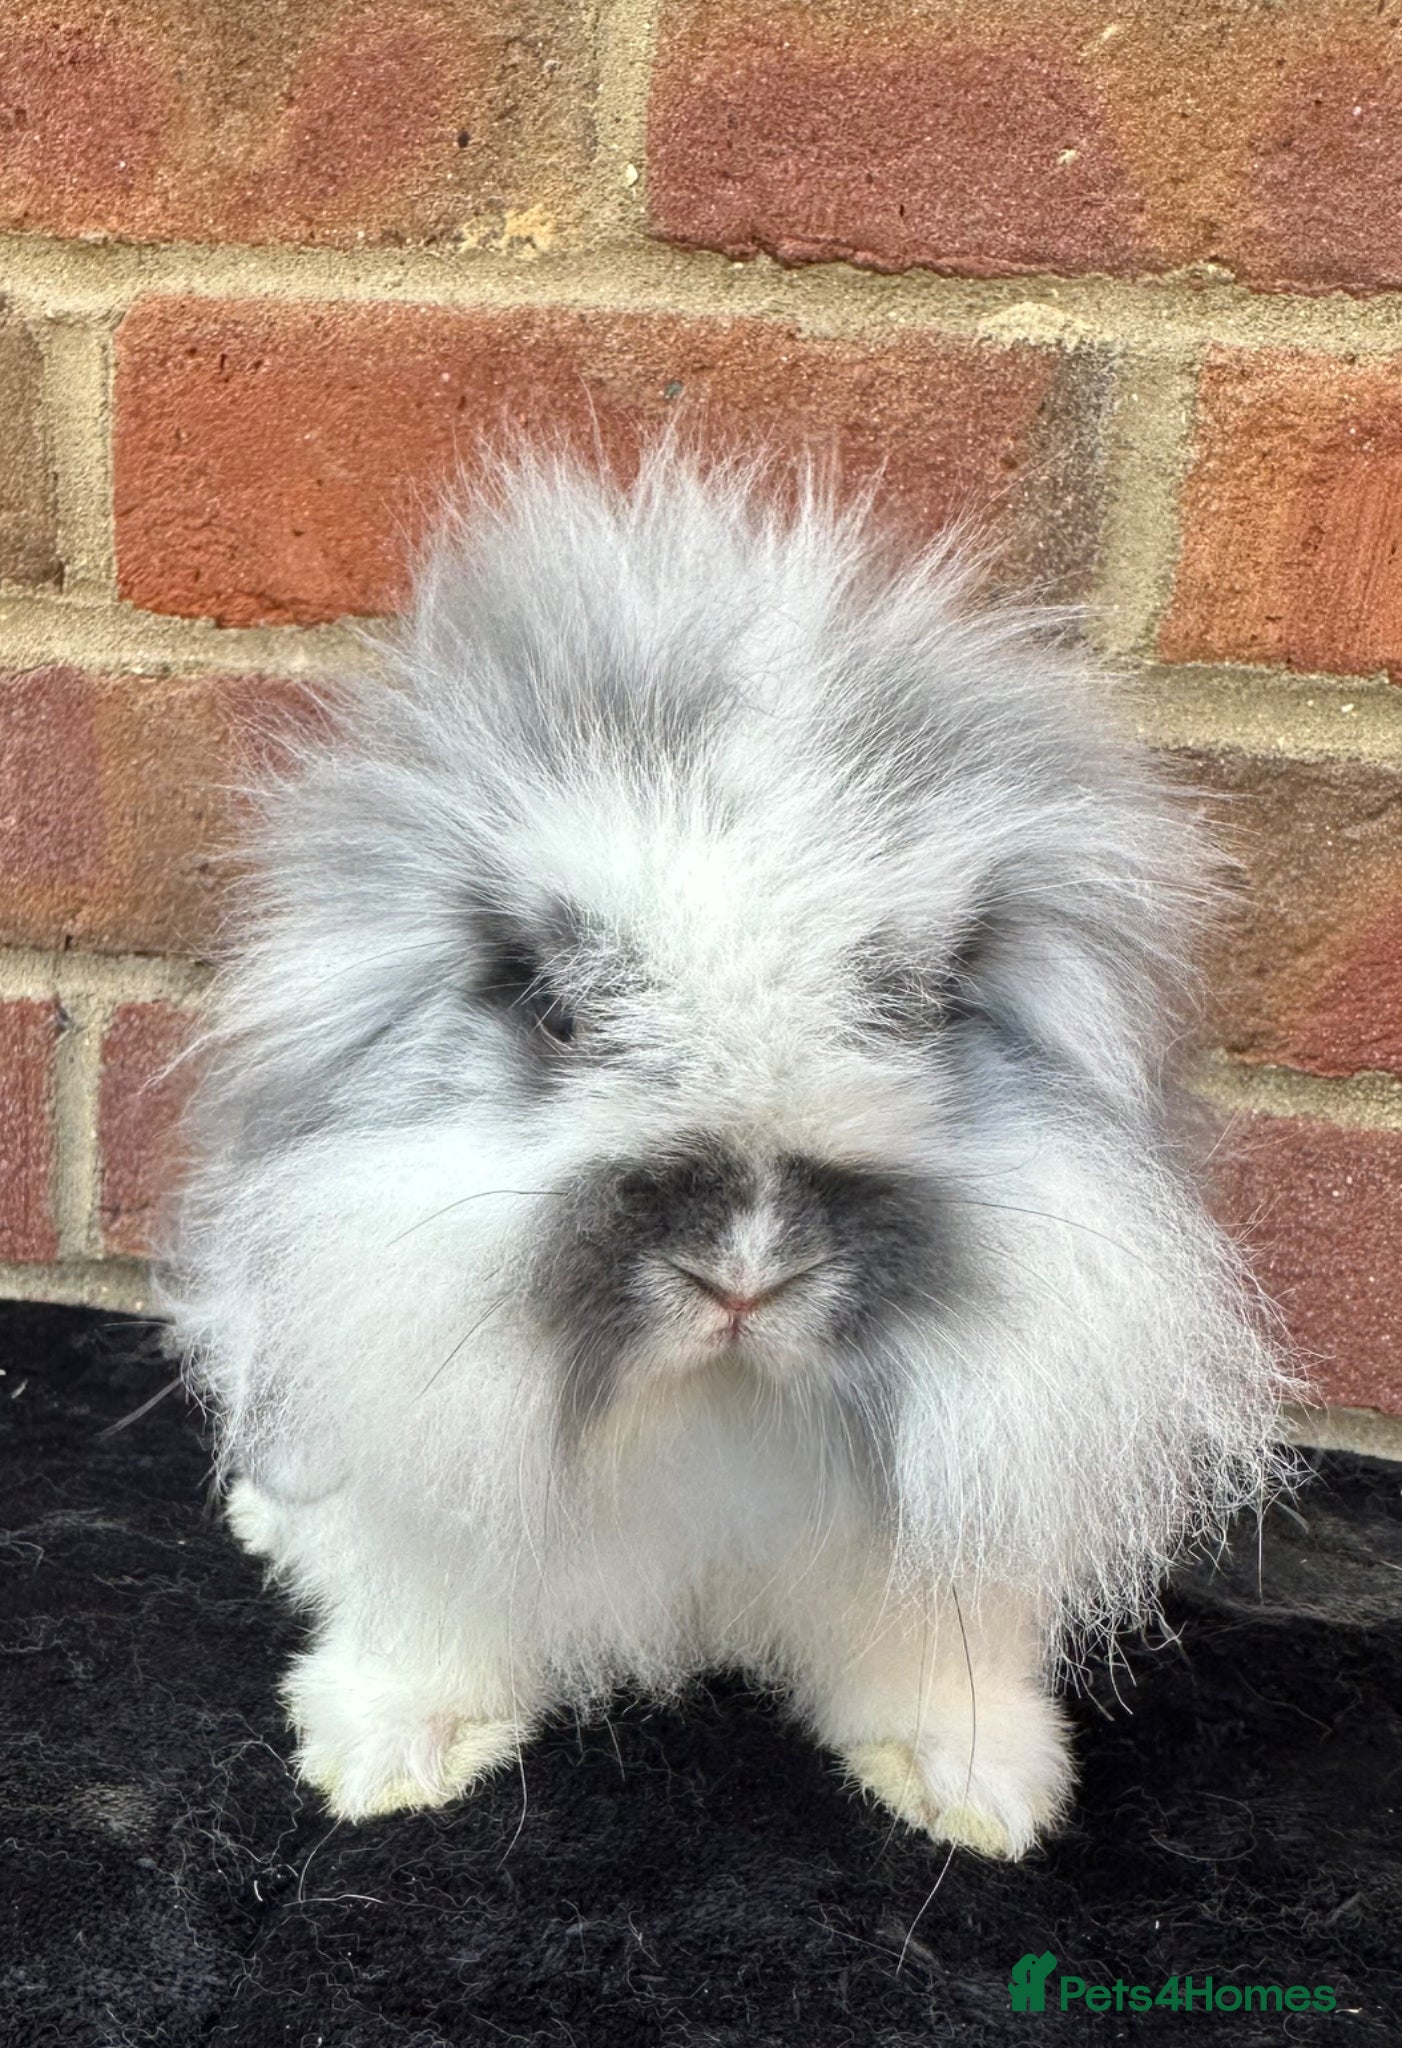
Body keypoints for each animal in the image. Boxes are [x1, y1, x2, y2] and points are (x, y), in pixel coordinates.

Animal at [165, 447, 1292, 1859]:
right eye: (559, 1012)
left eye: (918, 1011)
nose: (744, 1278)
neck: (713, 1405)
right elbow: (430, 1612)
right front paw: (391, 1752)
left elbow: (928, 1656)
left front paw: (974, 1787)